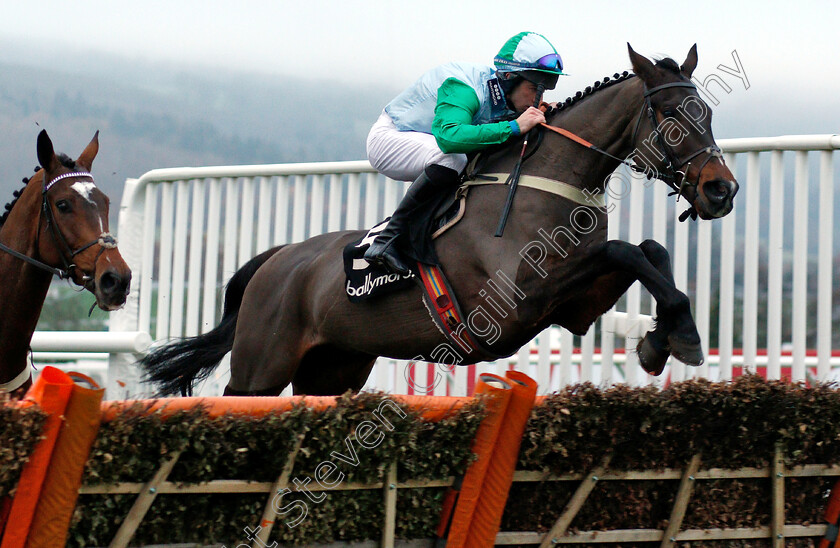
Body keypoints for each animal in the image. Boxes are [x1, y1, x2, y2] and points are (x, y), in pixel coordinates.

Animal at [141, 42, 740, 394]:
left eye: (708, 112)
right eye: (670, 114)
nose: (722, 190)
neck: (544, 181)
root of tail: (275, 260)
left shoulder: (573, 305)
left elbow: (647, 252)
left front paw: (665, 338)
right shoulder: (515, 300)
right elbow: (624, 250)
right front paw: (680, 335)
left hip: (333, 368)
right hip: (262, 366)